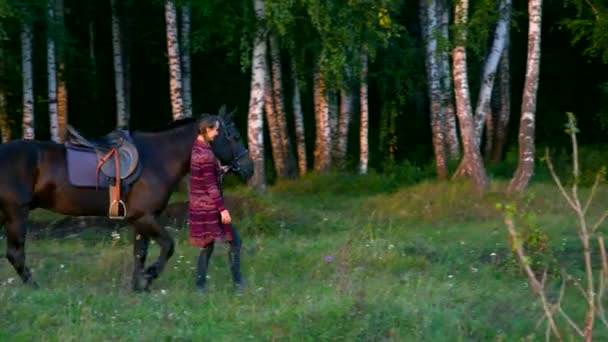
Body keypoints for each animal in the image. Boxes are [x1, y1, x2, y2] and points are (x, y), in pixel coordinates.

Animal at [0, 106, 253, 292]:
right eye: (235, 136)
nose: (248, 168)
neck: (157, 159)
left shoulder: (141, 219)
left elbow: (140, 252)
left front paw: (139, 286)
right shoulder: (145, 217)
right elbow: (168, 246)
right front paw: (150, 275)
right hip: (16, 213)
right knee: (15, 254)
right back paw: (35, 287)